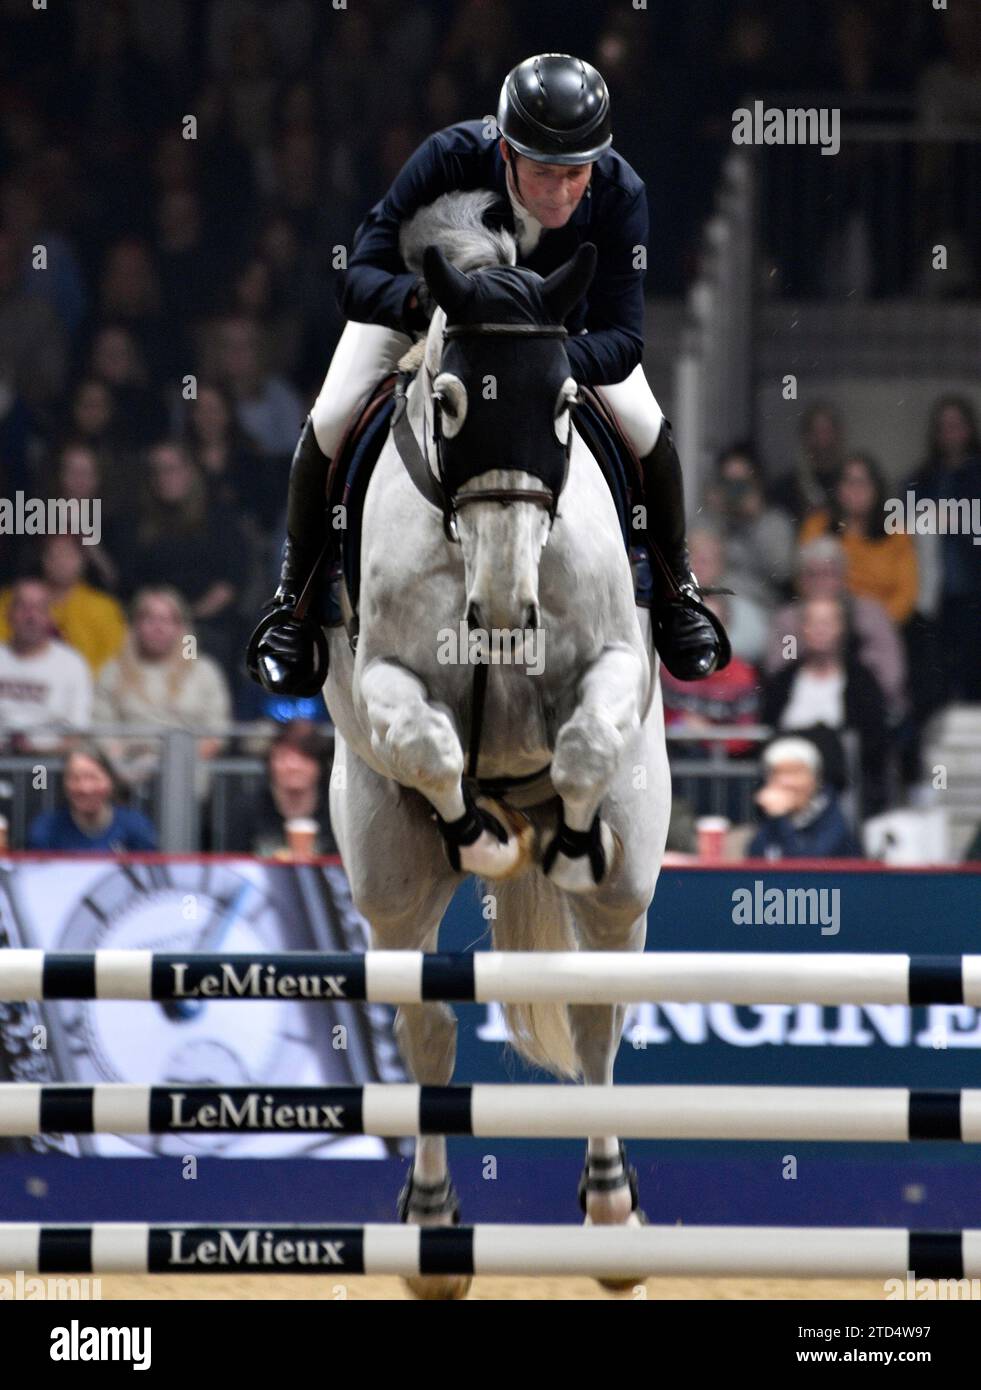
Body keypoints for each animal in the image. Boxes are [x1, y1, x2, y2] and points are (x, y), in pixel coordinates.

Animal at [325, 190, 669, 1295]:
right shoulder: (384, 686)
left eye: (561, 404)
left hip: (630, 881)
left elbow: (584, 745)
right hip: (387, 875)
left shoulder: (613, 664)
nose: (506, 608)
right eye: (448, 405)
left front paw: (561, 833)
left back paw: (612, 1217)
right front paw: (478, 832)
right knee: (426, 1025)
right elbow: (430, 748)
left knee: (598, 1011)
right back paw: (434, 1228)